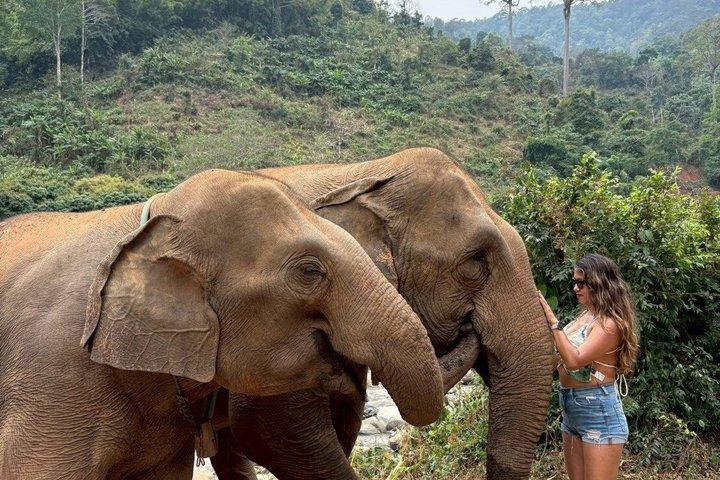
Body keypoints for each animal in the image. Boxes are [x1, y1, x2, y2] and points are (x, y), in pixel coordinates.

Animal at [210, 148, 556, 480]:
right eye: (476, 261)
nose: (470, 329)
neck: (367, 173)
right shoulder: (276, 317)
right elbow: (265, 427)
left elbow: (345, 418)